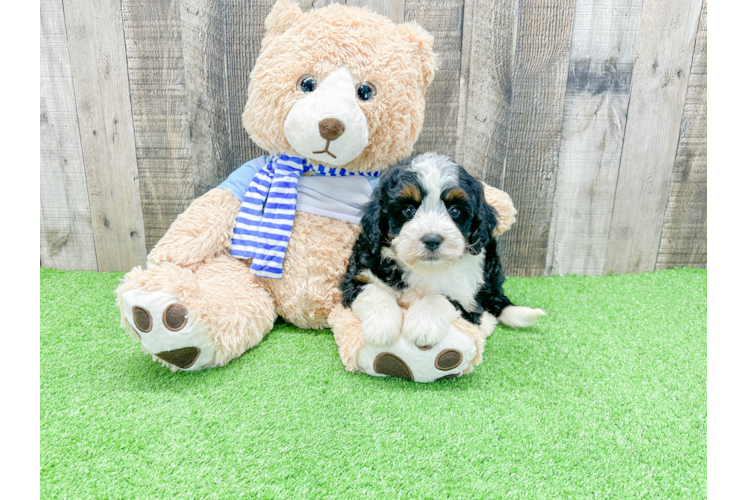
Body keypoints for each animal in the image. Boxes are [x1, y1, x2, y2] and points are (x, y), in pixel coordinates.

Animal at [342, 152, 548, 348]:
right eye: (408, 210)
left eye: (454, 211)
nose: (432, 240)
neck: (426, 269)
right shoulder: (359, 271)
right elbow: (372, 289)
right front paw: (381, 326)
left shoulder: (465, 296)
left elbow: (441, 297)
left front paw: (423, 325)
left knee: (492, 299)